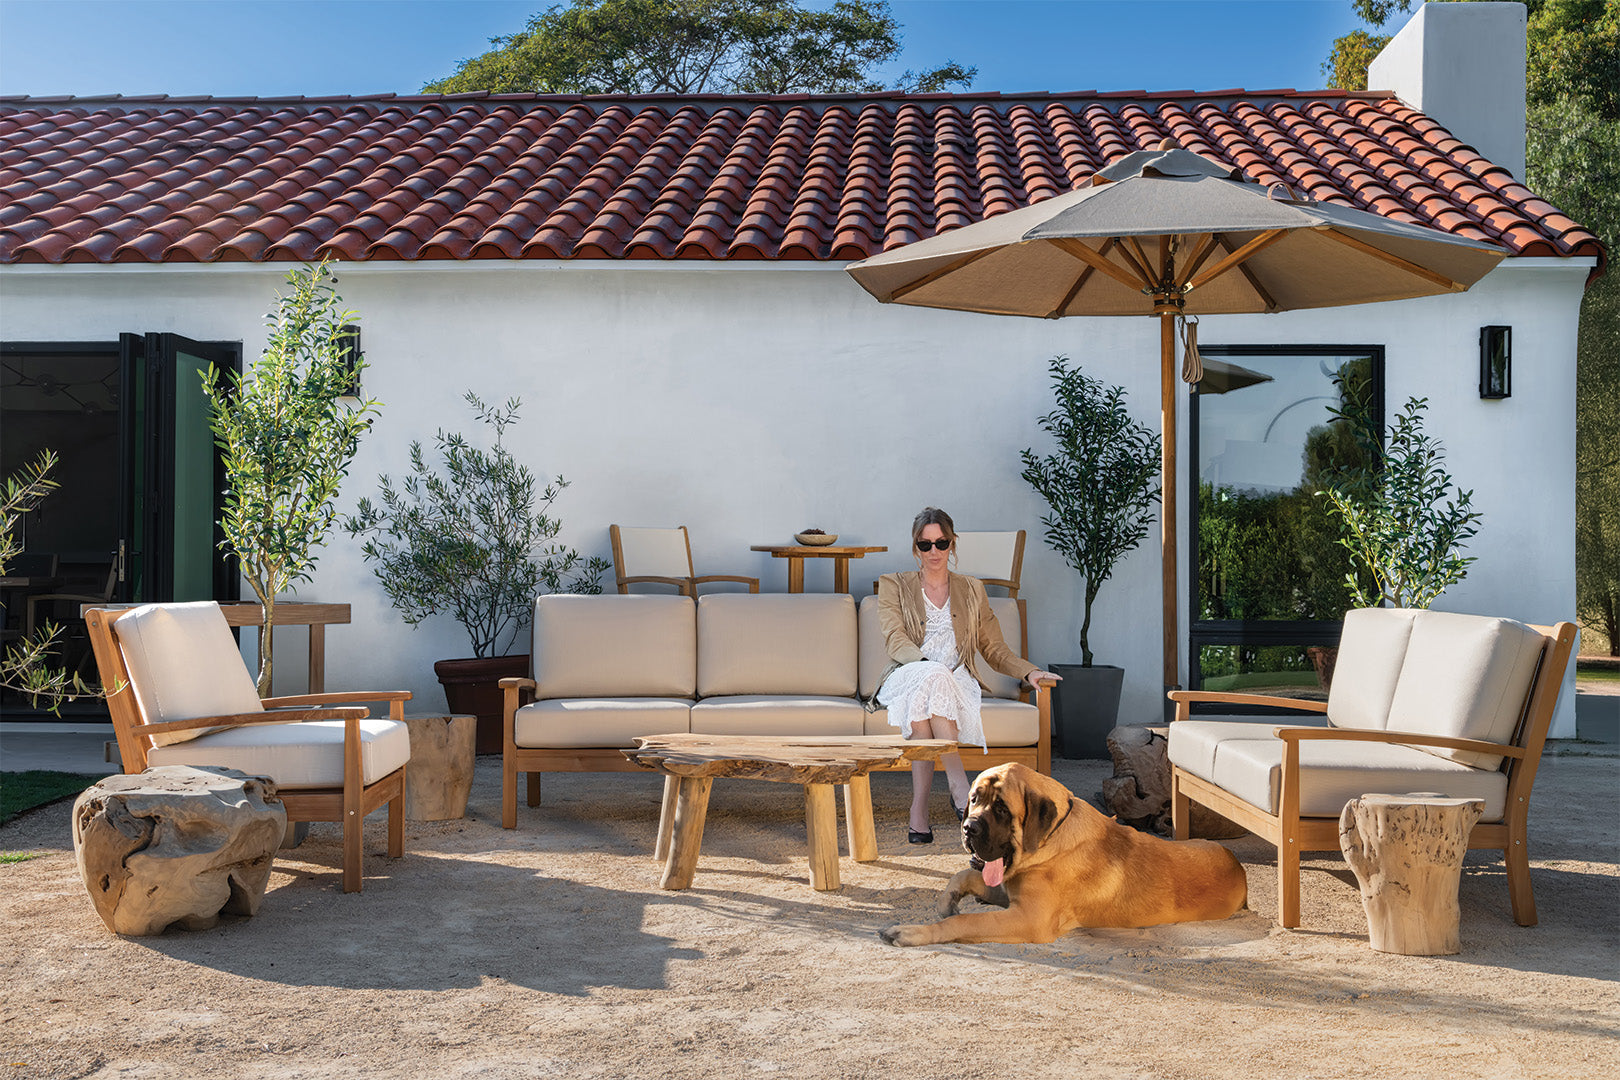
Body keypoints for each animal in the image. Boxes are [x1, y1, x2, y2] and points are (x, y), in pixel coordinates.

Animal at [881, 761, 1244, 945]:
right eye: (974, 799)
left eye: (1001, 809)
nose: (968, 828)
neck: (1050, 840)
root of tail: (1238, 866)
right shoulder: (1013, 892)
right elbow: (965, 874)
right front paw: (948, 900)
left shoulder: (1028, 919)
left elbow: (965, 921)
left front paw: (913, 932)